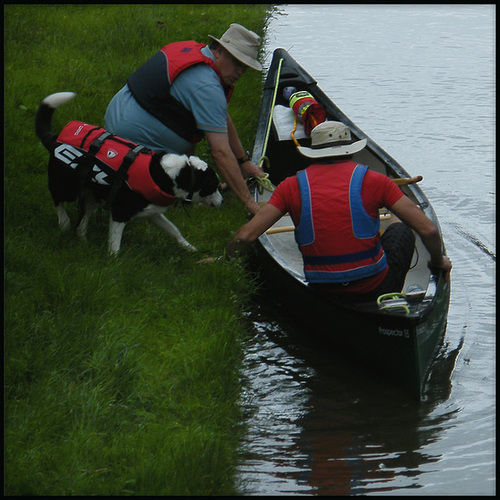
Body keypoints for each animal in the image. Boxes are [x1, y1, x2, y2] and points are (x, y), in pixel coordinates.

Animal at [35, 92, 223, 254]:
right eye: (213, 186)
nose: (221, 201)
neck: (171, 175)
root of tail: (54, 139)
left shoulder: (153, 213)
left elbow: (174, 230)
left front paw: (188, 247)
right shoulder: (120, 212)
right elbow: (115, 246)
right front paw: (114, 263)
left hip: (90, 197)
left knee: (81, 223)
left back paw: (82, 241)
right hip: (68, 188)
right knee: (57, 199)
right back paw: (64, 222)